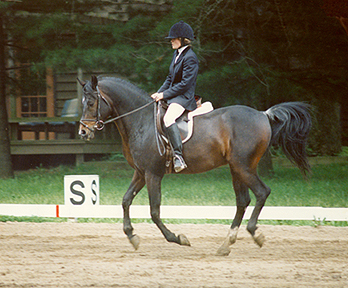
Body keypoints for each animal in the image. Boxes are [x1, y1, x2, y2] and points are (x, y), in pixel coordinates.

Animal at [77, 75, 312, 255]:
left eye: (91, 103)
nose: (83, 132)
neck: (141, 120)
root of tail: (263, 114)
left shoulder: (153, 174)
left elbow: (154, 211)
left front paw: (178, 238)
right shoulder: (141, 173)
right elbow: (126, 200)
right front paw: (132, 236)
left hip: (244, 167)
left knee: (262, 192)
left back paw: (254, 233)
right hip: (236, 168)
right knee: (243, 201)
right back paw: (226, 244)